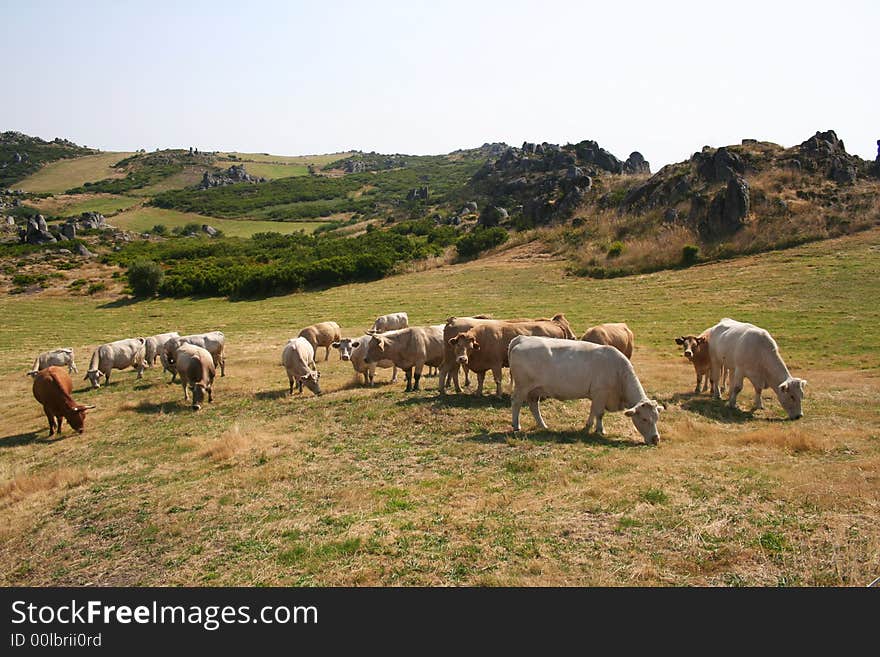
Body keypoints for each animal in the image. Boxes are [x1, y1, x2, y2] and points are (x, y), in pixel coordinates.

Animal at [440, 316, 576, 398]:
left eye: (470, 346)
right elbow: (483, 379)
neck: (483, 338)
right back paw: (445, 390)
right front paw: (481, 393)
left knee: (451, 371)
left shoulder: (495, 364)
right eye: (458, 345)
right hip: (451, 358)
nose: (463, 358)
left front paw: (497, 394)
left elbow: (495, 379)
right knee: (445, 370)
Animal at [506, 336, 664, 444]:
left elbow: (593, 411)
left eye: (656, 418)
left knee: (534, 406)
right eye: (644, 419)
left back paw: (543, 426)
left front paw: (588, 426)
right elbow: (599, 413)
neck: (618, 371)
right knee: (516, 403)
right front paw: (600, 430)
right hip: (522, 387)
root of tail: (522, 338)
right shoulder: (601, 393)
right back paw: (516, 426)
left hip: (535, 390)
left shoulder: (597, 396)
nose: (656, 439)